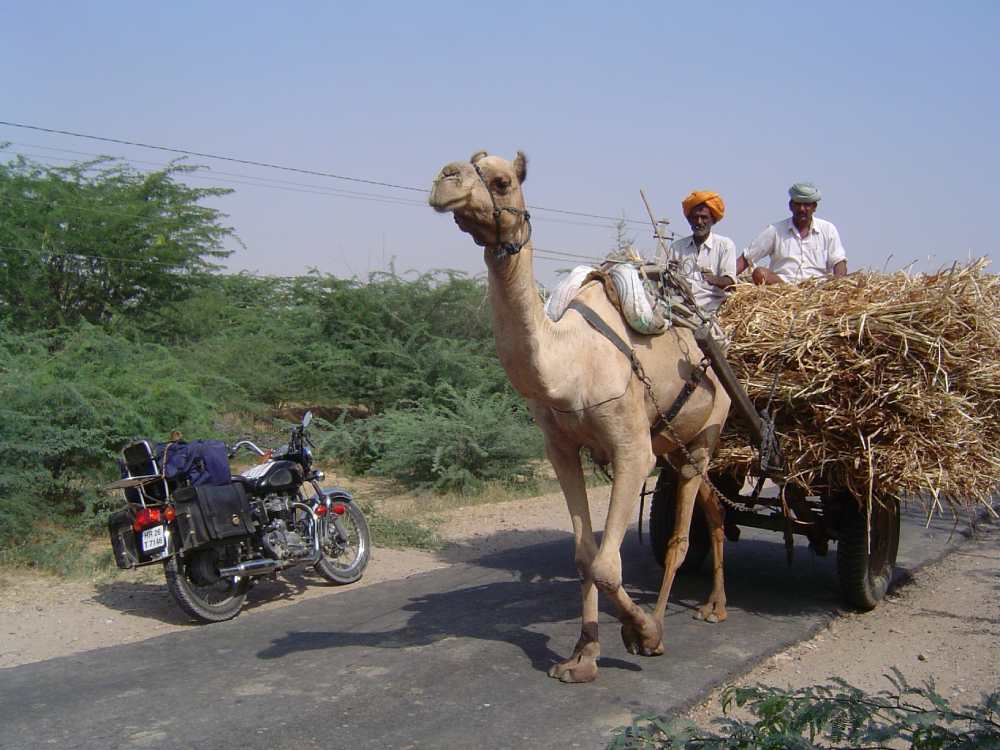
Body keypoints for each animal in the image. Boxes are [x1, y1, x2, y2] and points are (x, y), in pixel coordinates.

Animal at [426, 150, 732, 684]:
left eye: (501, 181)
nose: (446, 179)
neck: (570, 361)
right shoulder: (561, 450)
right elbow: (585, 556)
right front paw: (582, 657)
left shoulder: (632, 448)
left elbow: (609, 566)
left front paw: (640, 633)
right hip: (676, 446)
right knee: (713, 511)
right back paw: (714, 606)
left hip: (706, 432)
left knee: (679, 536)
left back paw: (662, 623)